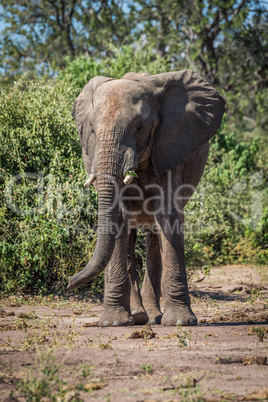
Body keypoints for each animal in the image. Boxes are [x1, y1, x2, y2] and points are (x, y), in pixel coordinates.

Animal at [66, 69, 224, 326]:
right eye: (92, 130)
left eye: (139, 127)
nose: (69, 281)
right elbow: (117, 220)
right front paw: (113, 323)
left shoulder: (170, 149)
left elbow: (168, 217)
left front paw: (180, 322)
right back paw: (139, 316)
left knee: (154, 237)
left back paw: (152, 317)